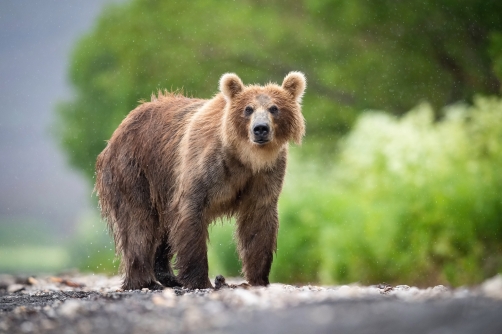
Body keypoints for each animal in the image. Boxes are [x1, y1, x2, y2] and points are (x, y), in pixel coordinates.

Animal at [94, 72, 306, 290]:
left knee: (163, 228)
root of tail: (119, 129)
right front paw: (200, 280)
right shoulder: (204, 168)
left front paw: (257, 279)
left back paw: (168, 277)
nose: (260, 129)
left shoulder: (264, 175)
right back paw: (144, 281)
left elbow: (258, 223)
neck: (245, 157)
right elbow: (190, 216)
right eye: (248, 109)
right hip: (135, 170)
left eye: (274, 108)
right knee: (138, 223)